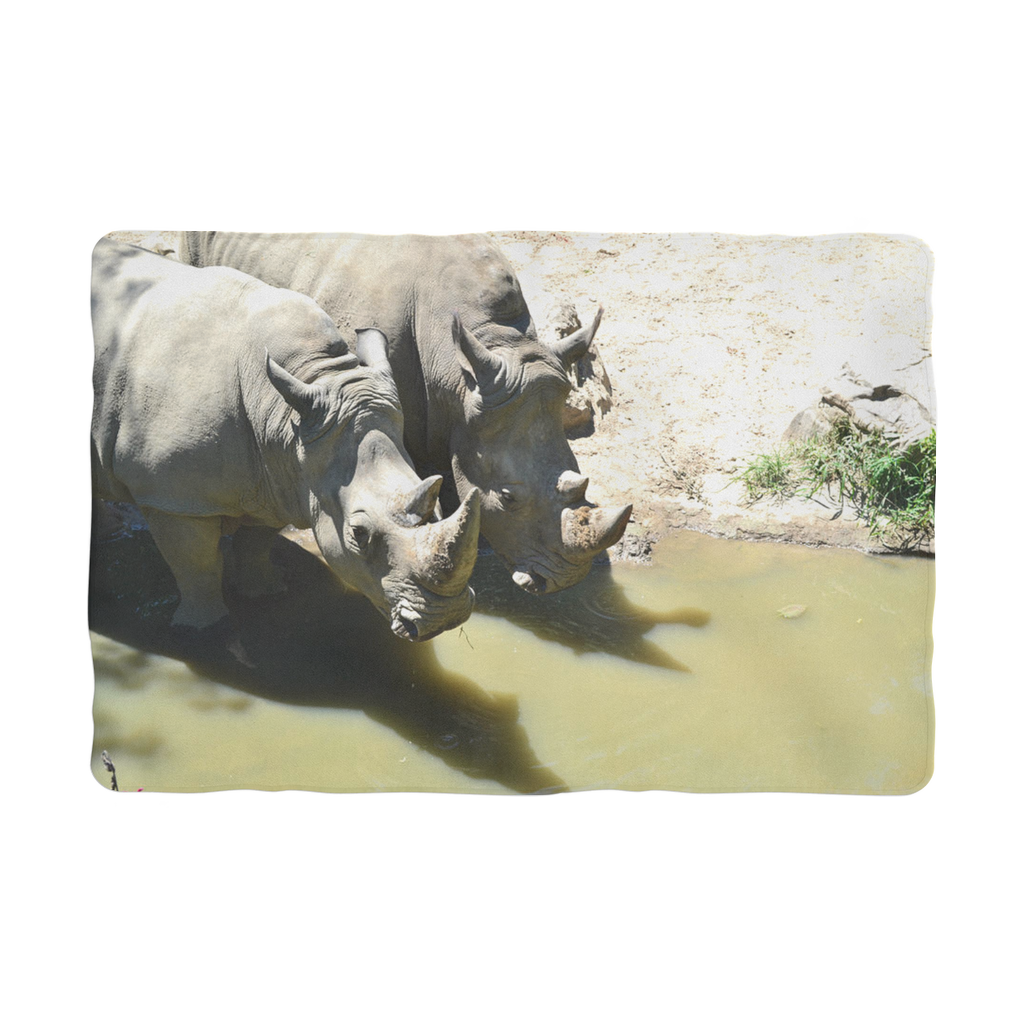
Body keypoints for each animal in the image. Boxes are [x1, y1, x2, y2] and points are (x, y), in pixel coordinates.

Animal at [89, 239, 481, 641]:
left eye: (437, 507)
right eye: (358, 533)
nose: (444, 619)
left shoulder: (281, 474)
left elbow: (256, 542)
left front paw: (265, 594)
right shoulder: (172, 496)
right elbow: (196, 566)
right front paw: (205, 631)